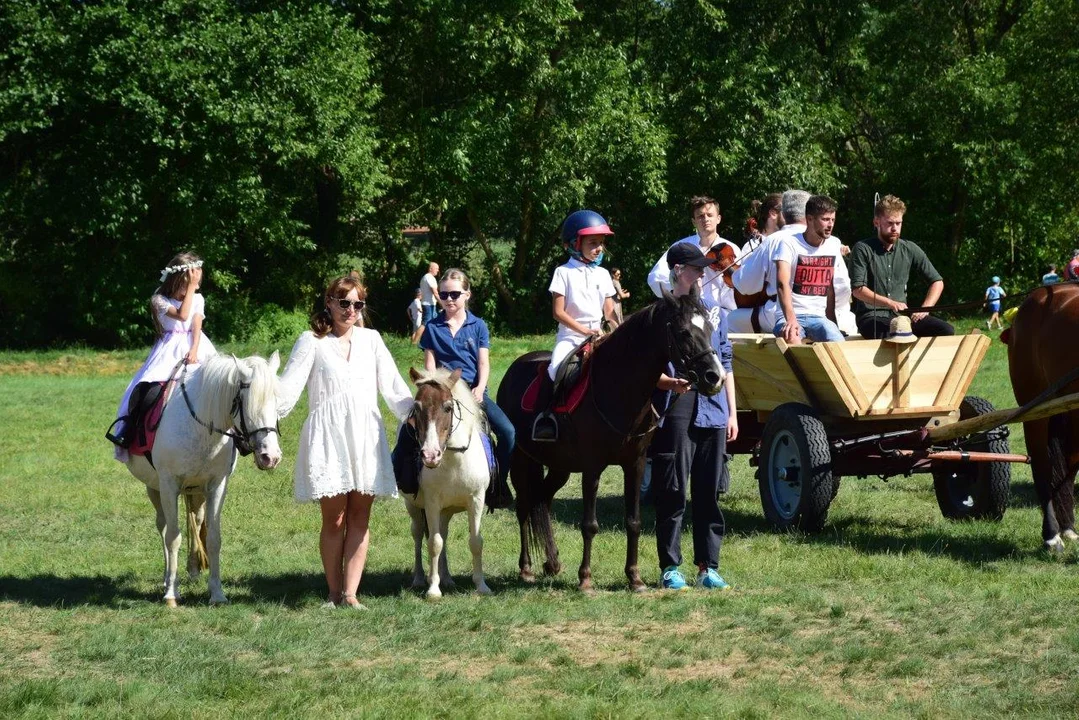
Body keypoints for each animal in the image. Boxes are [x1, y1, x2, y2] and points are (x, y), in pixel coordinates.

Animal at [123, 351, 282, 604]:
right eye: (247, 404)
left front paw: (217, 592)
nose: (271, 457)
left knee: (195, 522)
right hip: (155, 488)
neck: (201, 427)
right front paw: (171, 593)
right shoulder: (169, 485)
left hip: (196, 491)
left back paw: (193, 569)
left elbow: (214, 538)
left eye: (277, 402)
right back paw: (168, 579)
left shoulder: (217, 485)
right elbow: (173, 537)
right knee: (163, 527)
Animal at [496, 289, 725, 595]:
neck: (617, 387)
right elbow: (589, 525)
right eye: (684, 332)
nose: (715, 377)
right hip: (521, 458)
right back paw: (526, 568)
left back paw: (552, 562)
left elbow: (634, 522)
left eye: (710, 329)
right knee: (524, 506)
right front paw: (585, 579)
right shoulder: (592, 467)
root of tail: (514, 369)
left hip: (559, 466)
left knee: (542, 500)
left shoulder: (635, 465)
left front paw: (635, 578)